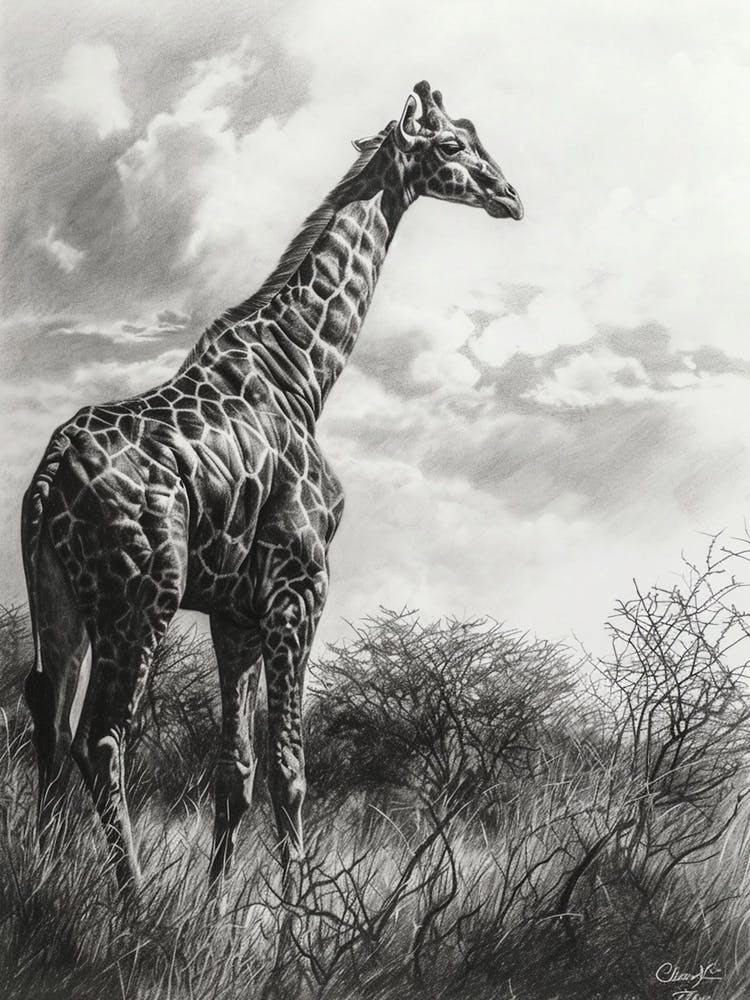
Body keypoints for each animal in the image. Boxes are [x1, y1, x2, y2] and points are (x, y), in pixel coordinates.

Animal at [21, 80, 523, 895]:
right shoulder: (300, 586)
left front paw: (216, 906)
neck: (304, 372)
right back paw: (133, 902)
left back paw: (41, 878)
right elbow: (290, 770)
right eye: (452, 145)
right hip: (141, 598)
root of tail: (50, 472)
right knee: (100, 736)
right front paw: (296, 922)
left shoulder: (235, 611)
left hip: (58, 591)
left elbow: (237, 770)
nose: (510, 196)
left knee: (46, 710)